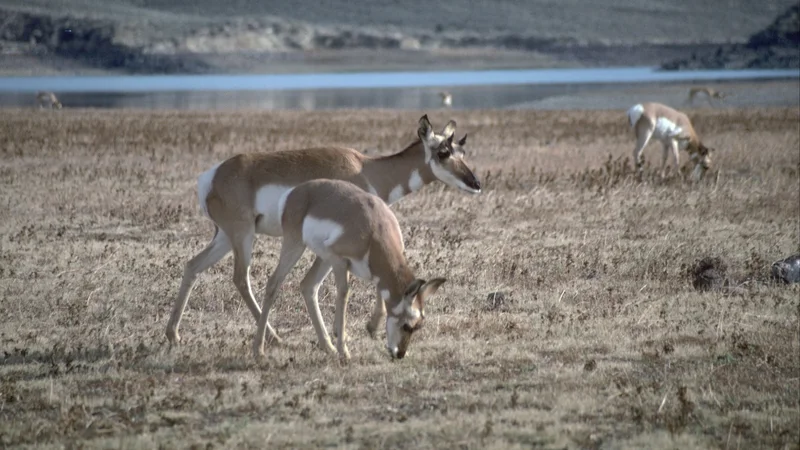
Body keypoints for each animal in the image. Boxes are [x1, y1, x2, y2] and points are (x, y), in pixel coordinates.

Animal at [252, 179, 447, 360]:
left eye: (419, 326)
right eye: (407, 325)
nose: (400, 354)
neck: (374, 228)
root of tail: (296, 191)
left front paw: (368, 329)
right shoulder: (340, 262)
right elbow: (344, 294)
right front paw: (344, 351)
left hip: (322, 259)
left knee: (308, 286)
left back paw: (327, 347)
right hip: (296, 246)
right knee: (274, 283)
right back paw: (259, 350)